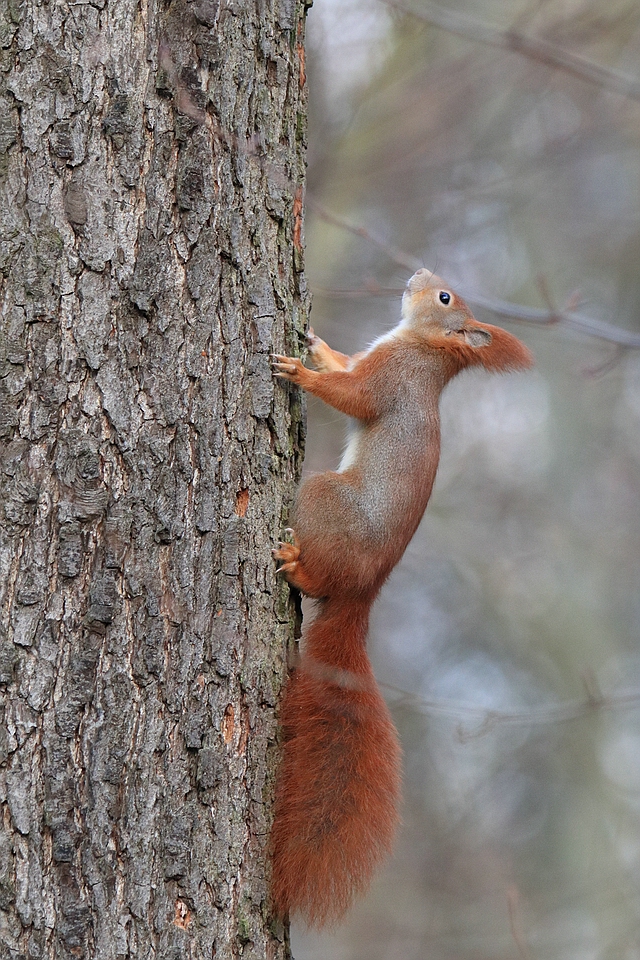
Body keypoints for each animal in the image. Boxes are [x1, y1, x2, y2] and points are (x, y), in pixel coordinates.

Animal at [268, 266, 532, 928]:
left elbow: (353, 396)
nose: (418, 275)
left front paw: (302, 373)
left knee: (315, 575)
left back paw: (295, 566)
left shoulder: (391, 380)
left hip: (321, 497)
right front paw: (317, 344)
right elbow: (346, 364)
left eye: (444, 297)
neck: (423, 349)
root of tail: (362, 598)